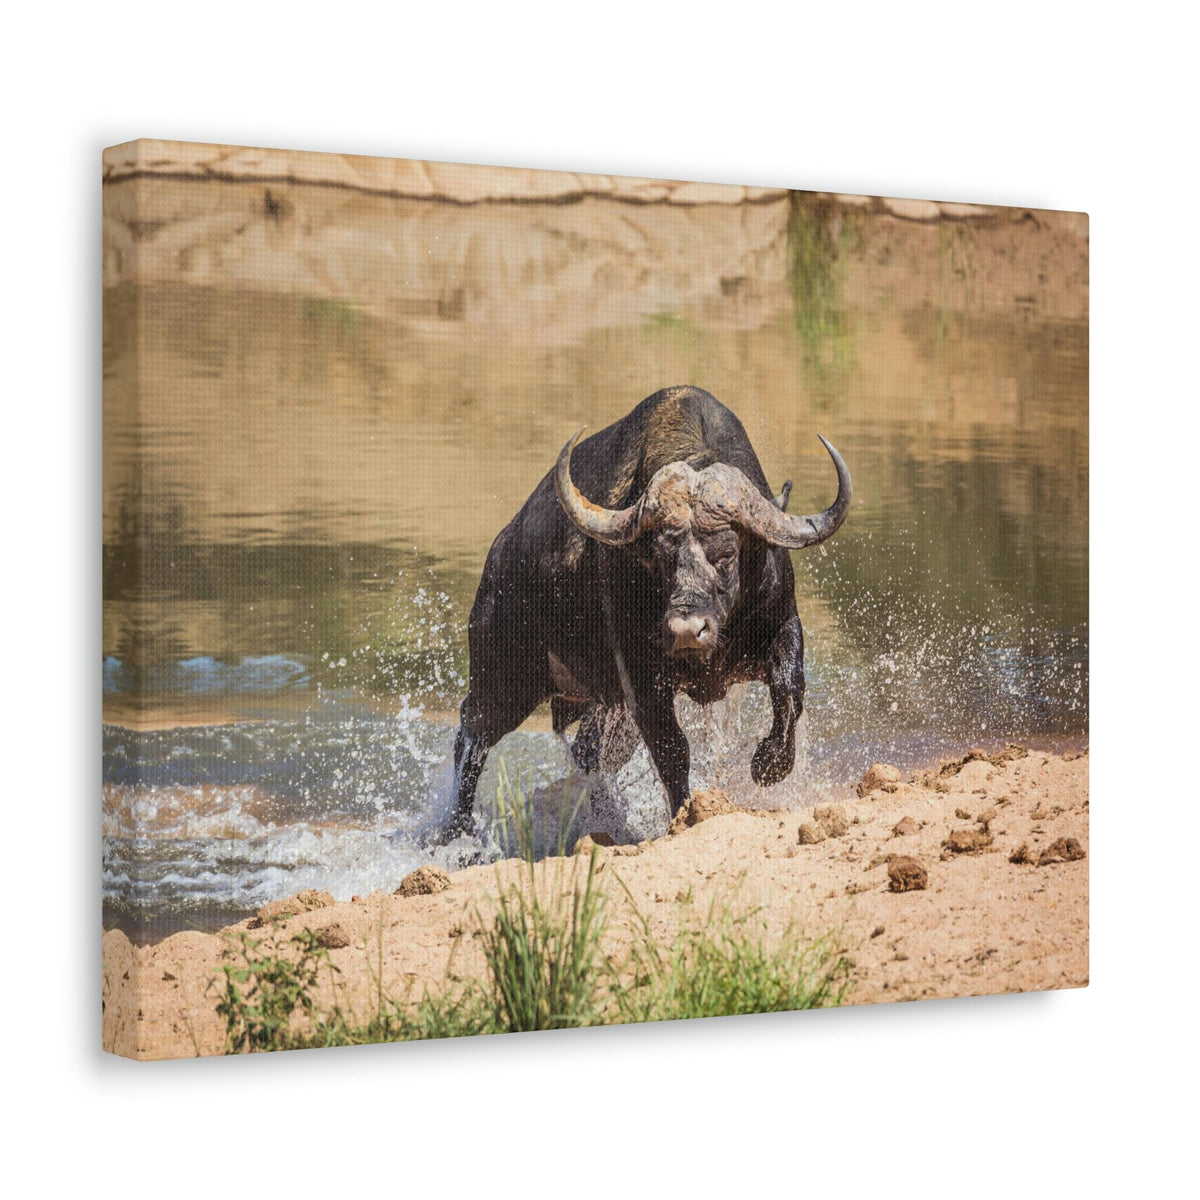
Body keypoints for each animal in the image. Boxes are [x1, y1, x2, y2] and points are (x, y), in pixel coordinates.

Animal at [443, 385, 851, 839]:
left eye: (726, 553)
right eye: (659, 557)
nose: (687, 630)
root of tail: (499, 556)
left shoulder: (782, 626)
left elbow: (789, 691)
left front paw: (769, 765)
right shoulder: (640, 675)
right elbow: (672, 748)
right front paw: (686, 813)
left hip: (602, 706)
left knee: (588, 754)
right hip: (504, 679)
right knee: (472, 737)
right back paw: (458, 832)